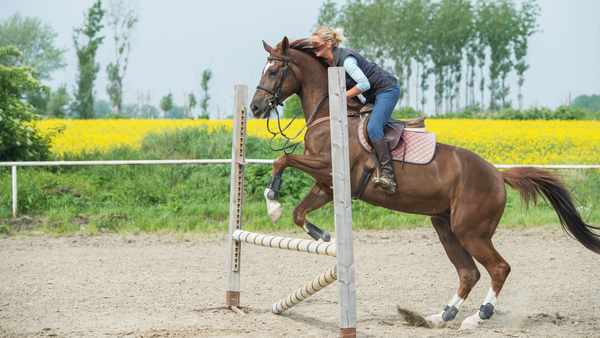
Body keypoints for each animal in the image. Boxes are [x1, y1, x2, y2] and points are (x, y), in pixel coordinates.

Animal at [250, 37, 600, 330]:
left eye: (274, 71)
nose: (255, 107)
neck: (330, 114)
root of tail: (498, 174)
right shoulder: (328, 185)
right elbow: (298, 212)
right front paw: (321, 235)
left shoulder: (327, 168)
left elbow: (282, 160)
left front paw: (273, 200)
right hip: (446, 226)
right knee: (469, 272)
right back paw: (440, 316)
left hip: (471, 230)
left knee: (498, 268)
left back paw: (477, 317)